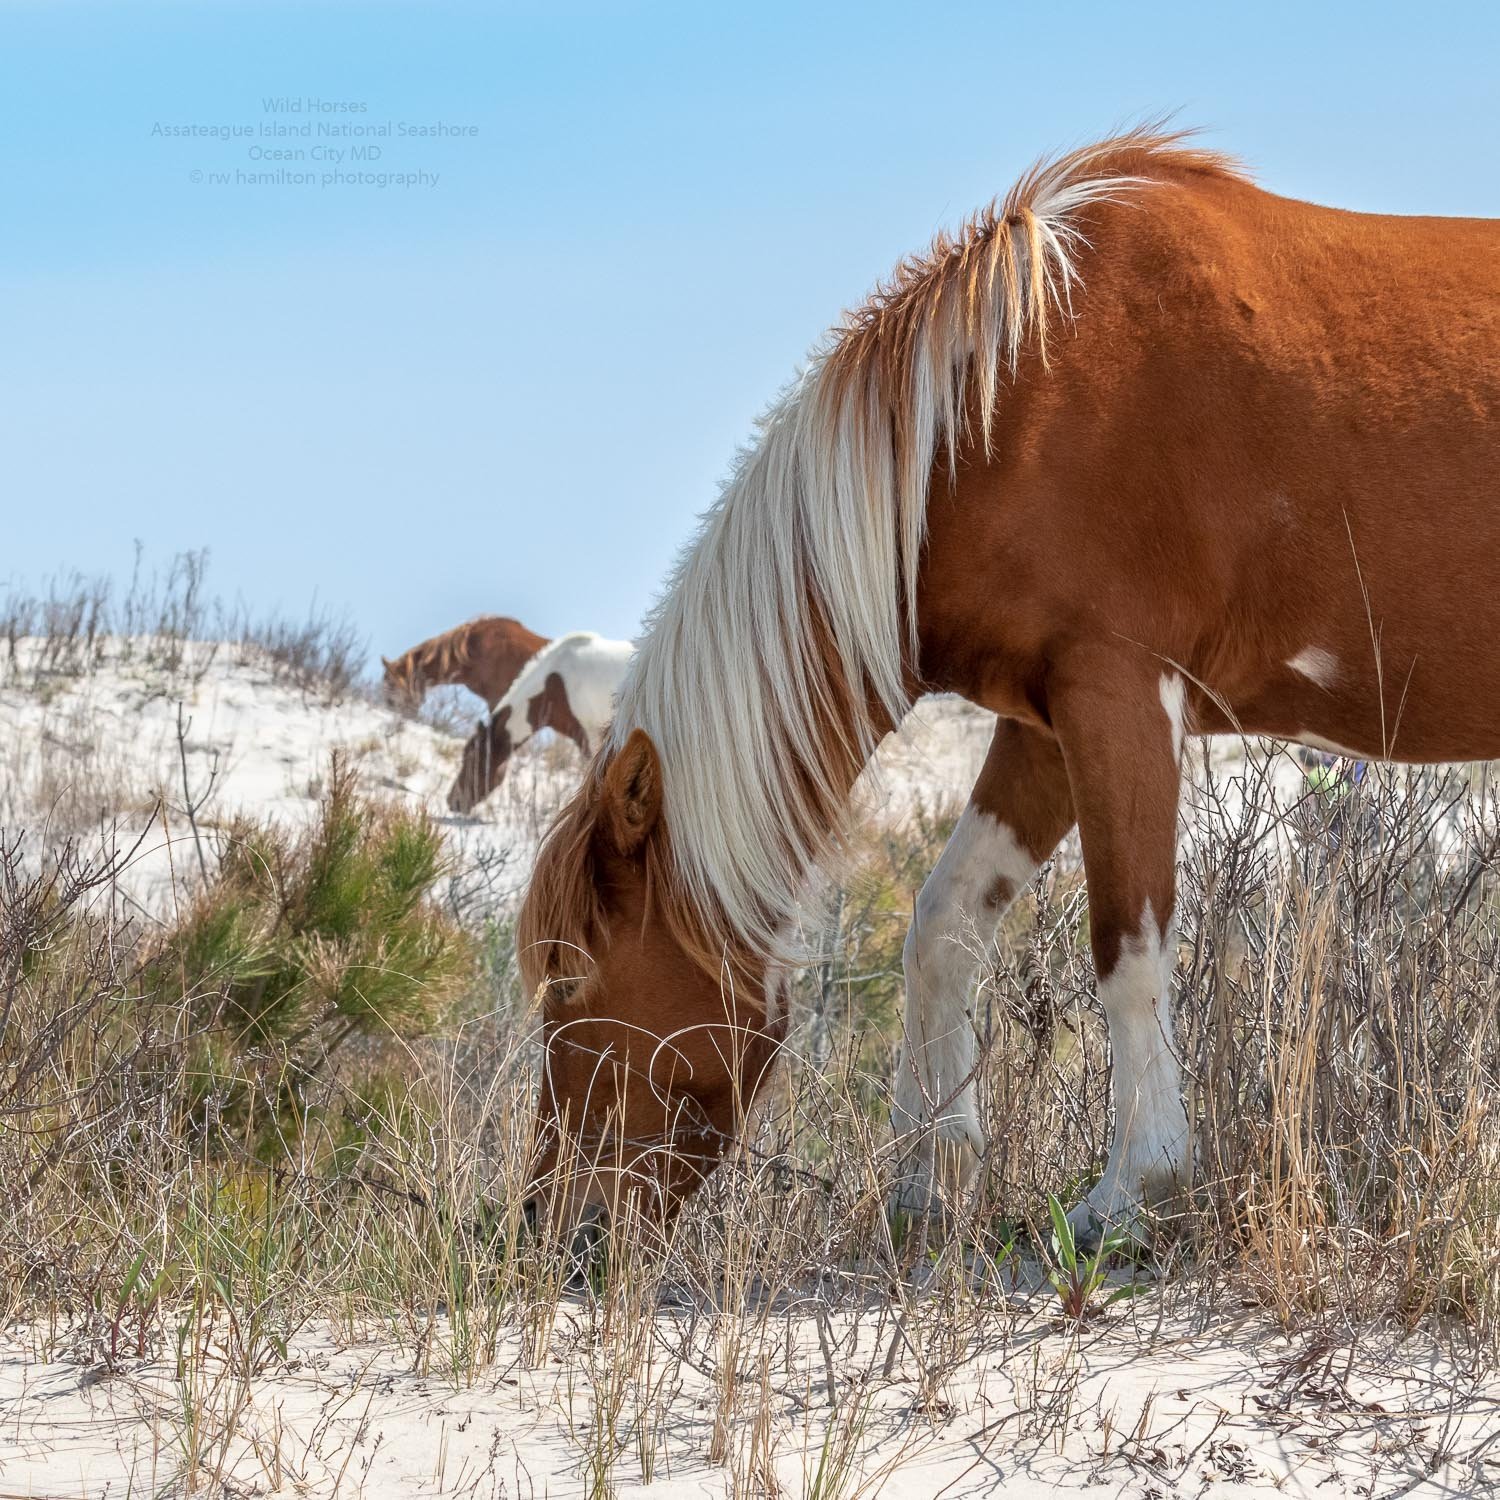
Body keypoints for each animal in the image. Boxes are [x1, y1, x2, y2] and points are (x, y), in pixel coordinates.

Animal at [519, 129, 1500, 1236]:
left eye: (568, 977)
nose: (551, 1227)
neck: (998, 411)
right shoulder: (1043, 728)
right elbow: (943, 926)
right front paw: (931, 1179)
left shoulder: (1121, 697)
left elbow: (1126, 948)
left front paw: (1135, 1189)